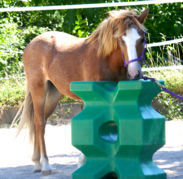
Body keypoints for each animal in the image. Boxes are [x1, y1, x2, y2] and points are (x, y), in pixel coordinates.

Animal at [16, 8, 149, 175]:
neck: (105, 59)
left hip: (53, 95)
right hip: (38, 90)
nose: (134, 73)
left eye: (142, 39)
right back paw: (45, 164)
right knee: (39, 123)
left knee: (39, 122)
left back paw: (36, 162)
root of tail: (31, 44)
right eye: (121, 40)